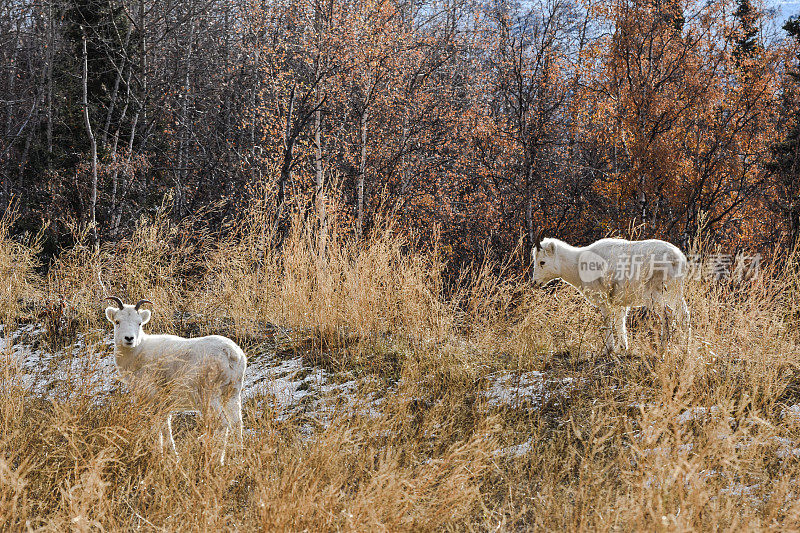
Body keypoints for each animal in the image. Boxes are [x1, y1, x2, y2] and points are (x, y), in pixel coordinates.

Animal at [104, 296, 245, 462]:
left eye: (139, 323)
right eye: (117, 321)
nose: (129, 339)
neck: (138, 353)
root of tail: (231, 354)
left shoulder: (153, 399)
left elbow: (157, 428)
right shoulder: (164, 405)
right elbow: (166, 428)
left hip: (210, 397)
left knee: (222, 425)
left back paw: (216, 460)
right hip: (232, 394)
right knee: (236, 423)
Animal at [532, 234, 688, 354]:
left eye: (542, 262)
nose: (535, 283)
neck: (578, 265)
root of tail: (677, 258)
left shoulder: (603, 300)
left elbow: (607, 322)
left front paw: (609, 349)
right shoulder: (620, 304)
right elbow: (620, 322)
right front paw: (622, 348)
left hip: (653, 295)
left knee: (668, 314)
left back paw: (662, 349)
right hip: (675, 292)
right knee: (683, 314)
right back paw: (685, 348)